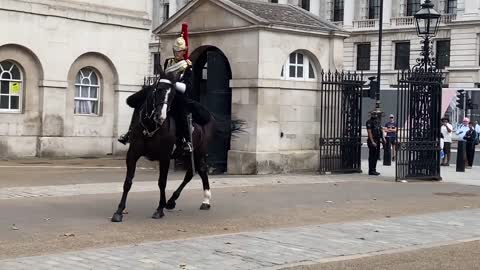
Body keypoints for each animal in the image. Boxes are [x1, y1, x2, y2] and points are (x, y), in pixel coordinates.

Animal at [110, 74, 242, 221]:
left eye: (173, 95)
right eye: (158, 90)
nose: (160, 116)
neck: (150, 127)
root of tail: (210, 116)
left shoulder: (165, 157)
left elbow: (162, 182)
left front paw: (159, 209)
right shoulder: (132, 154)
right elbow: (128, 182)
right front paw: (119, 211)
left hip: (199, 151)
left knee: (200, 170)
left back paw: (205, 200)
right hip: (186, 154)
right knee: (192, 172)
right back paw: (173, 201)